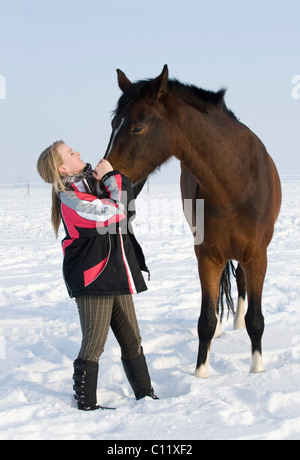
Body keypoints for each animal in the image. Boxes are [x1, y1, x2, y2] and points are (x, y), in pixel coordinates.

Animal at [103, 65, 282, 380]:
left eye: (137, 127)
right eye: (113, 123)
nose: (102, 179)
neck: (235, 185)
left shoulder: (258, 256)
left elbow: (256, 319)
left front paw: (257, 369)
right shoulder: (207, 256)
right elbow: (206, 320)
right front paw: (200, 374)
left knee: (242, 284)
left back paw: (237, 321)